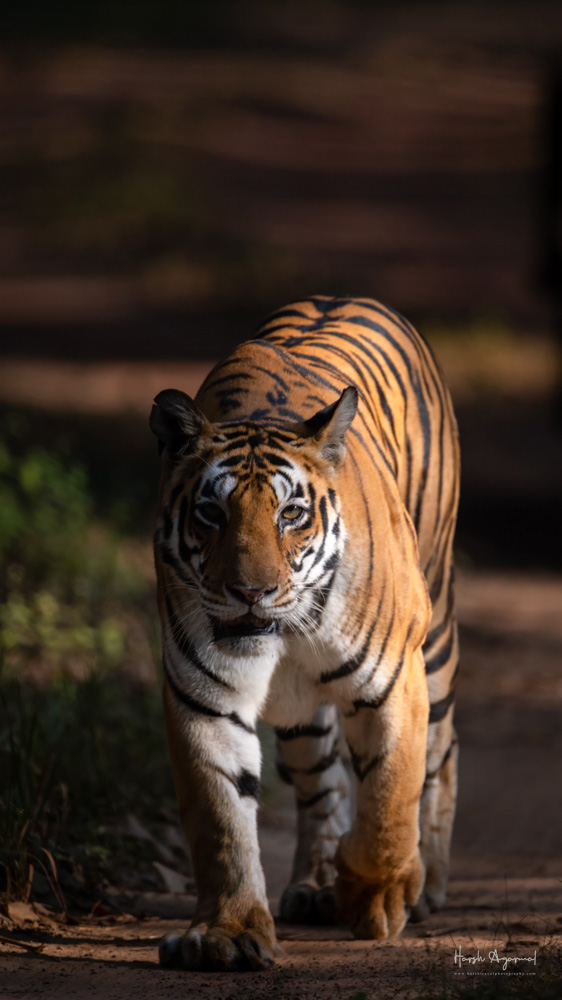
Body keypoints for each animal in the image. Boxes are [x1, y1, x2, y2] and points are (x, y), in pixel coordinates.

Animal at [150, 295, 460, 972]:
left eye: (291, 514)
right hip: (298, 712)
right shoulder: (204, 696)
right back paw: (315, 883)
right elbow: (220, 819)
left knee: (440, 756)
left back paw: (430, 881)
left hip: (437, 637)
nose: (249, 592)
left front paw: (379, 896)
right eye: (211, 513)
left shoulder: (394, 681)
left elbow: (389, 800)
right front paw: (229, 933)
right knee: (321, 784)